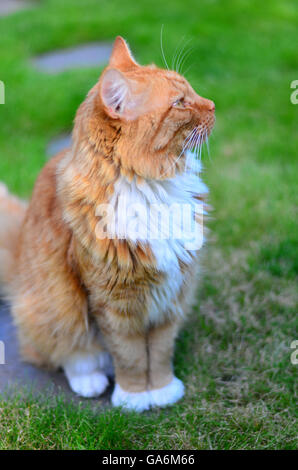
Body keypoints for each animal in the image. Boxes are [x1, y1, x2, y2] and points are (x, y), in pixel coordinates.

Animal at [0, 37, 214, 412]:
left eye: (190, 91)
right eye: (180, 103)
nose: (214, 105)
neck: (151, 186)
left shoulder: (172, 292)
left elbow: (159, 350)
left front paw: (162, 389)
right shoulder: (112, 301)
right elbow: (130, 355)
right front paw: (134, 396)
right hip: (53, 304)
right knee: (68, 353)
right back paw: (90, 380)